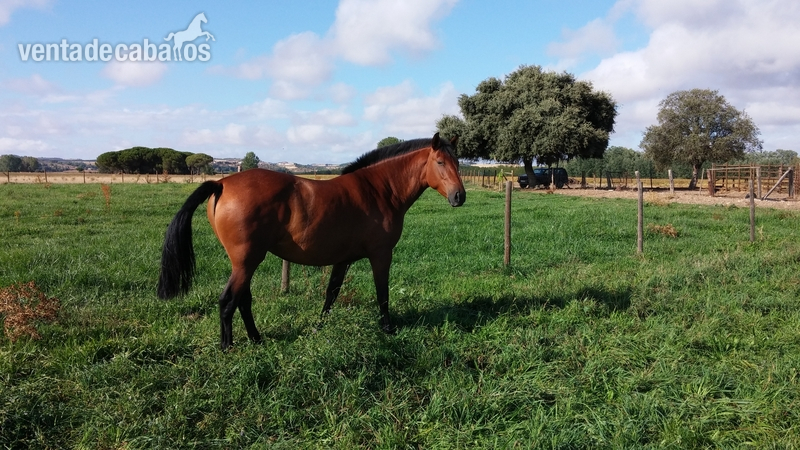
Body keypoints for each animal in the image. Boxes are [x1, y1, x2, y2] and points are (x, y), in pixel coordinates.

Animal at [157, 133, 465, 349]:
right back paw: (227, 346)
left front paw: (320, 326)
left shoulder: (343, 259)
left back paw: (257, 338)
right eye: (440, 162)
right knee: (228, 301)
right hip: (246, 261)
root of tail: (221, 183)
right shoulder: (381, 255)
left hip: (245, 262)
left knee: (243, 300)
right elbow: (383, 294)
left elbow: (332, 292)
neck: (378, 190)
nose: (459, 196)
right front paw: (388, 329)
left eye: (458, 163)